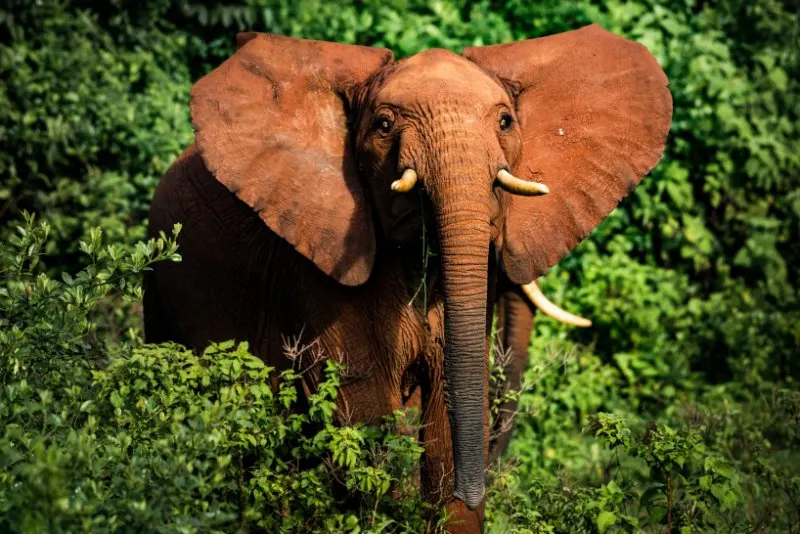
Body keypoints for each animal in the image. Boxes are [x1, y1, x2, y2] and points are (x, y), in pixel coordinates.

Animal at [144, 25, 668, 534]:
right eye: (383, 125)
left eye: (505, 122)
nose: (476, 488)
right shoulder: (318, 262)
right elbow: (366, 410)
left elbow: (447, 412)